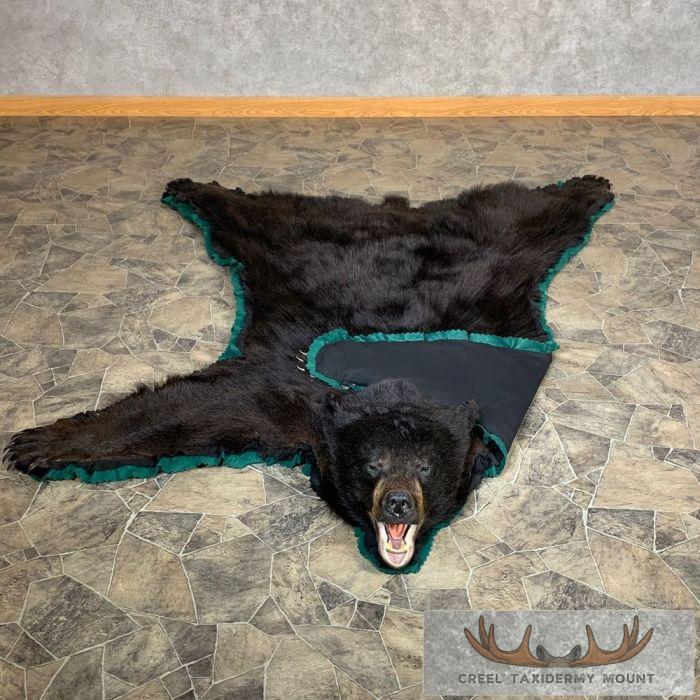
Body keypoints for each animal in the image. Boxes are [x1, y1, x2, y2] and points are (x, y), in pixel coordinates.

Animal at [5, 175, 614, 570]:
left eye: (425, 467)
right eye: (371, 465)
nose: (398, 503)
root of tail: (393, 212)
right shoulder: (293, 398)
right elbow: (193, 409)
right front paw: (40, 441)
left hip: (499, 262)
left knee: (517, 213)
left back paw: (588, 186)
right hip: (293, 243)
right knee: (266, 214)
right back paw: (193, 189)